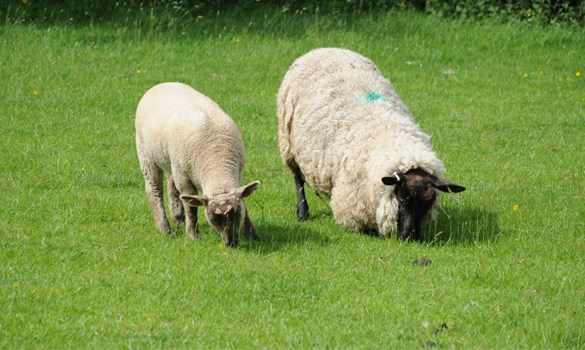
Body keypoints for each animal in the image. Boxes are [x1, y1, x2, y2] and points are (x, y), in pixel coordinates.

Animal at [276, 47, 464, 241]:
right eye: (401, 199)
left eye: (428, 203)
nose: (409, 237)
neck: (396, 143)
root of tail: (325, 48)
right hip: (288, 142)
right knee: (298, 178)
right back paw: (302, 212)